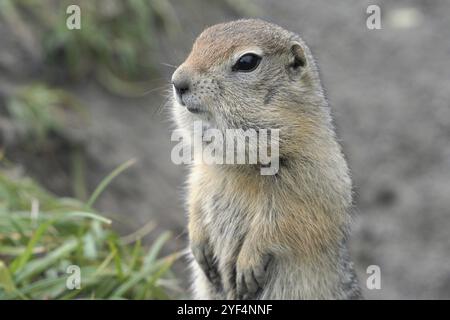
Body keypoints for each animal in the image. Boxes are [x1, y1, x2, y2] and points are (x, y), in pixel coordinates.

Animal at [171, 19, 360, 300]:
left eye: (247, 61)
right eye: (198, 41)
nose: (177, 82)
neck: (236, 163)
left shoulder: (311, 179)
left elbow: (285, 221)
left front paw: (248, 266)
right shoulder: (202, 170)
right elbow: (194, 197)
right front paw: (198, 245)